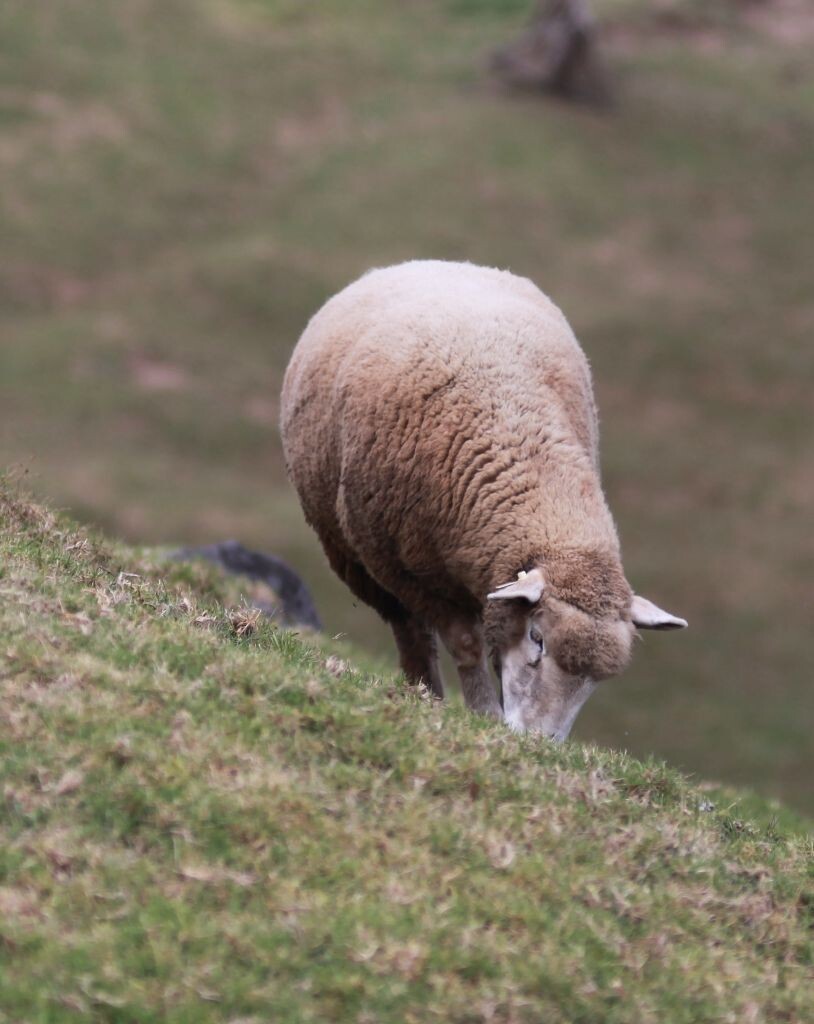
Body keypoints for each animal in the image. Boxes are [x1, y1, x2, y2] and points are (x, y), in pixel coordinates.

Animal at [282, 262, 688, 745]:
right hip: (359, 560)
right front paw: (482, 711)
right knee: (409, 629)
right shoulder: (409, 572)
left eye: (594, 682)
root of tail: (422, 263)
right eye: (537, 638)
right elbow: (463, 643)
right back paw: (424, 690)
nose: (538, 743)